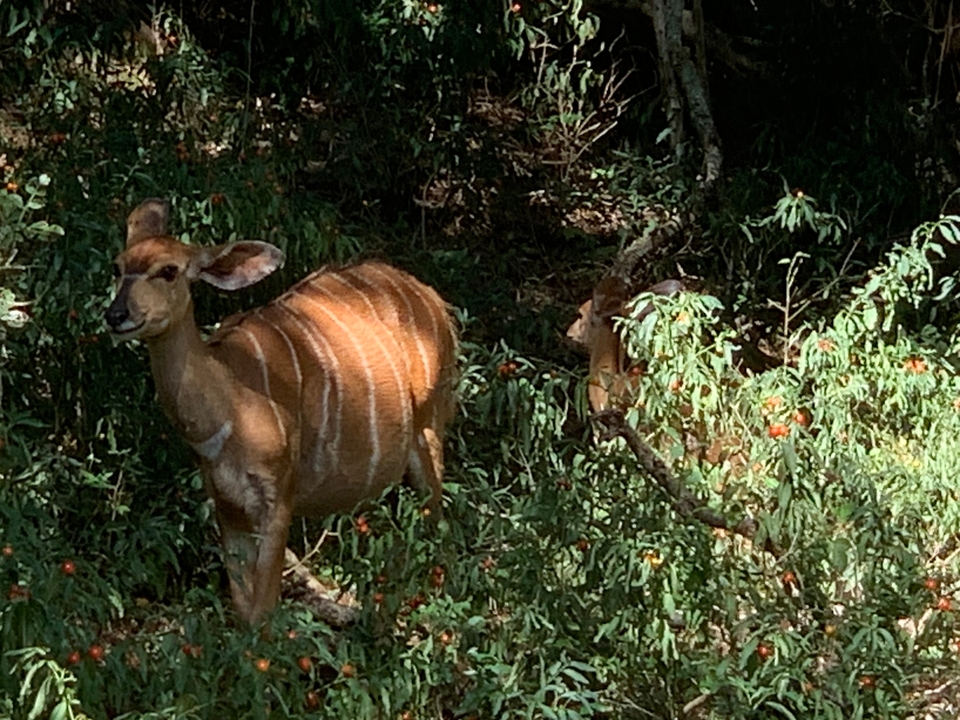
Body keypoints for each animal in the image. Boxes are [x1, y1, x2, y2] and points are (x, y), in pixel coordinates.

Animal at [105, 198, 458, 625]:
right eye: (118, 266)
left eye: (169, 271)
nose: (116, 315)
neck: (231, 408)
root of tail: (436, 302)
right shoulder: (227, 506)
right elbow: (243, 612)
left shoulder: (278, 497)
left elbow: (262, 615)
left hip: (430, 427)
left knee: (438, 524)